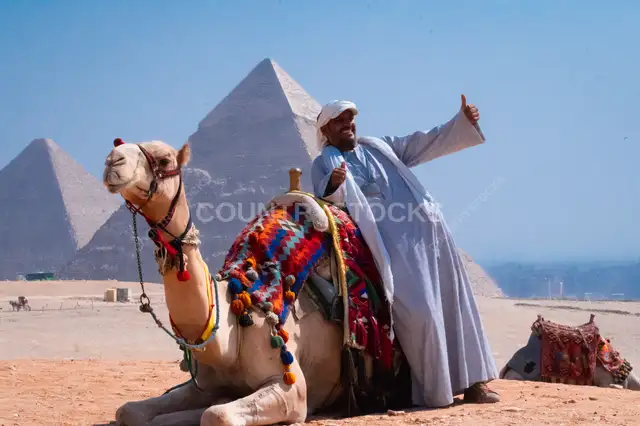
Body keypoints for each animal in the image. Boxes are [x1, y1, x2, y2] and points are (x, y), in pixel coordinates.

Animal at [102, 138, 410, 426]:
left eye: (165, 159)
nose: (112, 161)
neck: (230, 324)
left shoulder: (291, 388)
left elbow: (216, 414)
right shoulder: (200, 385)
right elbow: (129, 411)